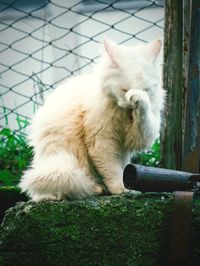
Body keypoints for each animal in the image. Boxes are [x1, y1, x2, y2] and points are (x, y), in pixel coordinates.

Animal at [19, 38, 165, 202]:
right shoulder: (102, 141)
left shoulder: (137, 137)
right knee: (71, 189)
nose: (131, 104)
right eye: (124, 90)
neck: (124, 114)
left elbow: (143, 118)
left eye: (145, 90)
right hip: (68, 159)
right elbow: (112, 170)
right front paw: (120, 189)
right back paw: (97, 189)